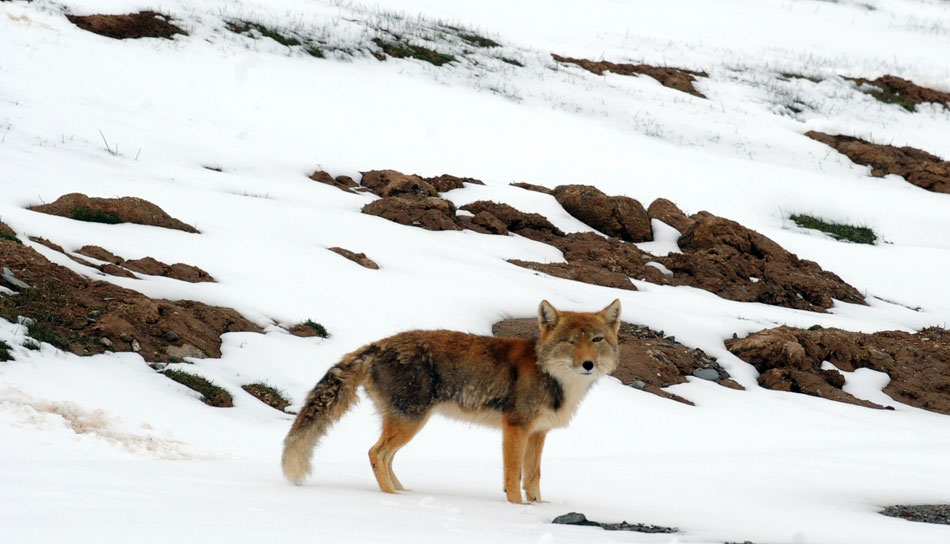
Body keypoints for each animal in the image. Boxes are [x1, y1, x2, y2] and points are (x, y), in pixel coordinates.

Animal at [282, 300, 624, 504]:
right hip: (411, 422)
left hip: (406, 423)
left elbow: (533, 477)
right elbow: (513, 474)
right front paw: (516, 508)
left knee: (387, 457)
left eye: (596, 340)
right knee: (375, 453)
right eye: (570, 341)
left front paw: (537, 507)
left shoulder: (538, 433)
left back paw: (403, 491)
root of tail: (376, 345)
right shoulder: (515, 428)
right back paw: (392, 499)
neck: (554, 378)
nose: (588, 364)